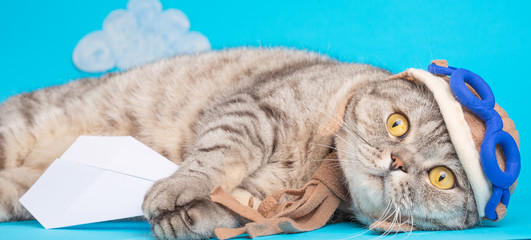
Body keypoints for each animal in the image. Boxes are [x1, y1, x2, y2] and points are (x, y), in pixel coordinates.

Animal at [0, 47, 480, 239]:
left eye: (441, 178)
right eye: (398, 125)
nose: (397, 161)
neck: (319, 172)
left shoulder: (266, 198)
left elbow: (231, 207)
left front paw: (186, 219)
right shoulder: (253, 113)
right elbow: (217, 156)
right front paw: (176, 187)